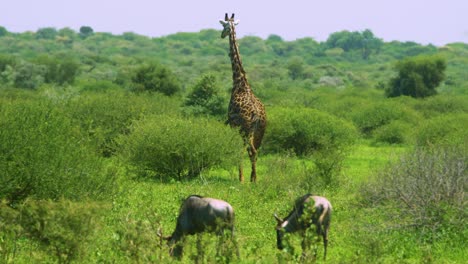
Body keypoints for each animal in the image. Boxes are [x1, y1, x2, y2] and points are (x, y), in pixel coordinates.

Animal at [219, 13, 266, 183]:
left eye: (224, 26)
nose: (221, 35)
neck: (240, 83)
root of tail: (257, 114)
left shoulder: (233, 125)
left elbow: (237, 149)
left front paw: (241, 177)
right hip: (260, 131)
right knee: (255, 151)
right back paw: (254, 178)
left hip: (246, 129)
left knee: (250, 150)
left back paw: (248, 178)